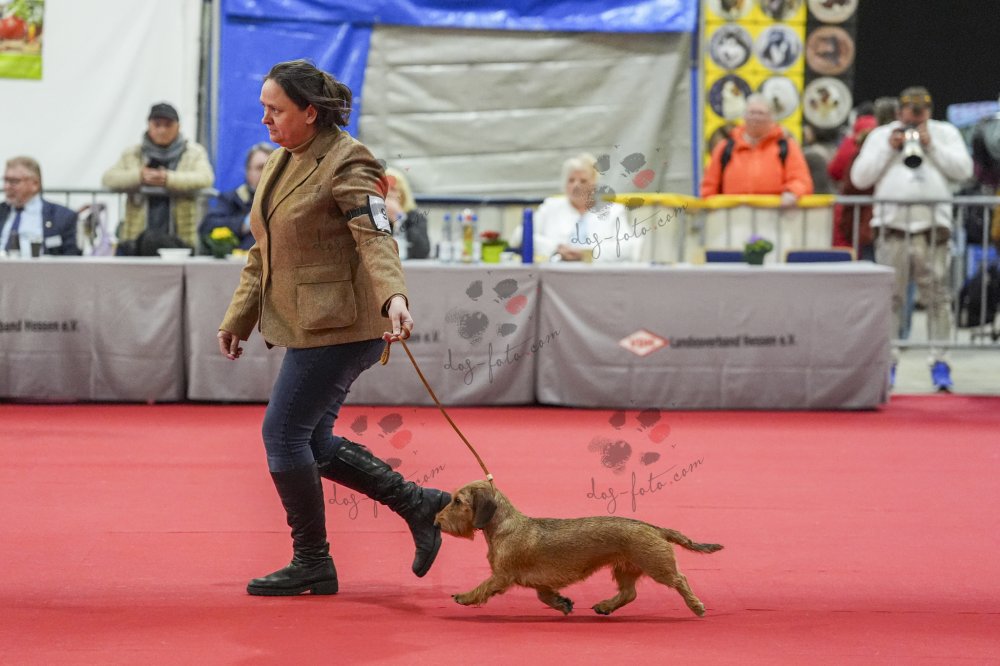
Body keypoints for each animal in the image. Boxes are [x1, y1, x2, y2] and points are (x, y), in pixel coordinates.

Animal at [434, 480, 723, 616]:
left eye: (458, 501)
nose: (437, 521)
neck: (505, 525)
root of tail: (655, 528)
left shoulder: (501, 576)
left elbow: (482, 588)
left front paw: (465, 597)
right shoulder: (539, 581)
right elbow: (545, 596)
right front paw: (563, 603)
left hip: (657, 566)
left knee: (680, 580)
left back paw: (696, 606)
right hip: (625, 568)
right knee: (629, 593)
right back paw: (606, 606)